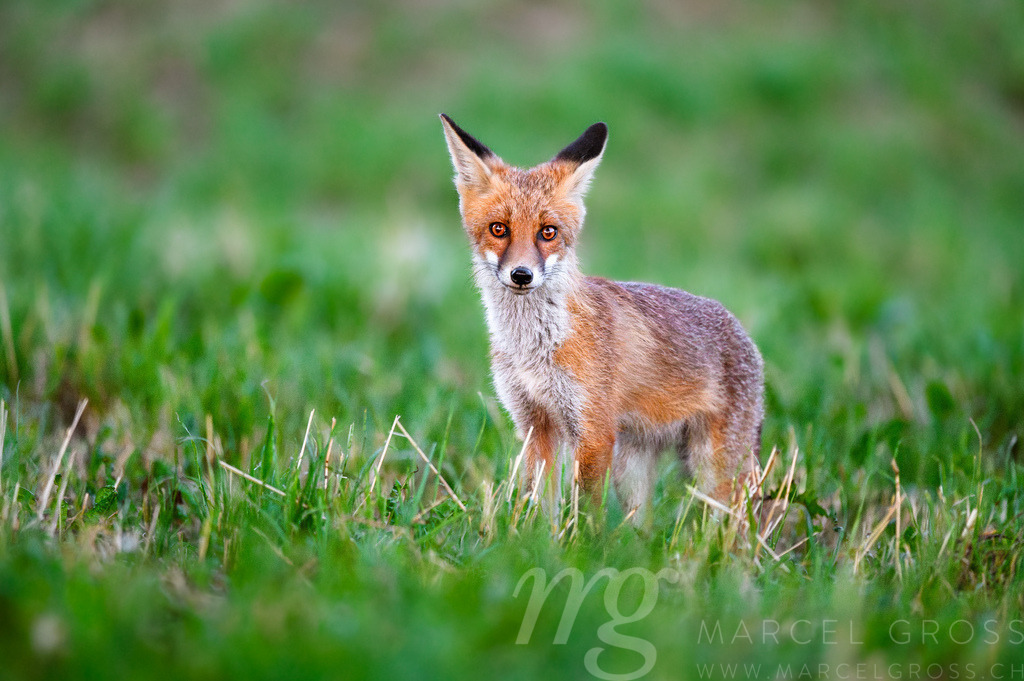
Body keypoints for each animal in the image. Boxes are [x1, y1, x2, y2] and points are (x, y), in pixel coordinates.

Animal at [439, 114, 764, 518]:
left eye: (548, 232)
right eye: (499, 229)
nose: (522, 275)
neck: (535, 349)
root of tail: (743, 333)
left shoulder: (593, 431)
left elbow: (584, 513)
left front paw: (578, 537)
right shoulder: (535, 425)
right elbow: (539, 507)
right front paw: (534, 534)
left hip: (715, 474)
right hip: (632, 469)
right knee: (642, 524)